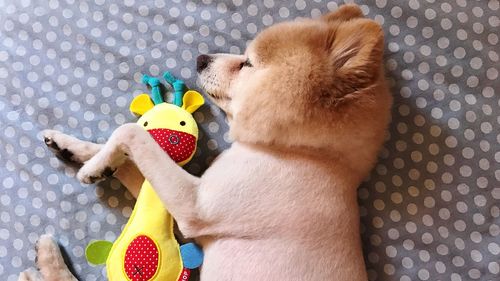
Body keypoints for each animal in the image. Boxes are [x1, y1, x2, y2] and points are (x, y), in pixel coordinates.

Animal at [23, 4, 392, 280]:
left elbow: (131, 132)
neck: (304, 153)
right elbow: (129, 160)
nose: (201, 58)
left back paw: (48, 264)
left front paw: (94, 166)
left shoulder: (195, 207)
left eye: (248, 63)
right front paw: (84, 153)